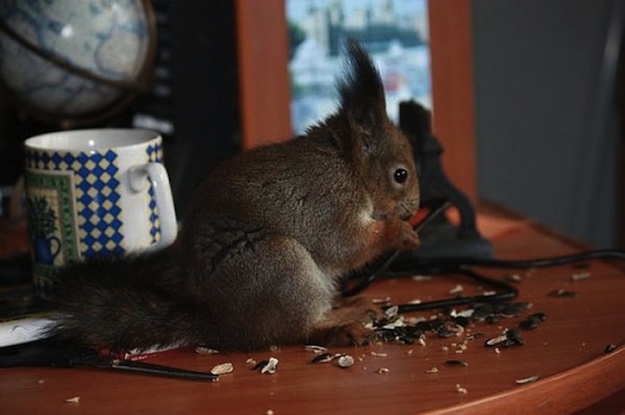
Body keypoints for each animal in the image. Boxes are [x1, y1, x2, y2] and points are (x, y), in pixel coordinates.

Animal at [52, 41, 420, 354]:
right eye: (400, 174)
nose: (413, 208)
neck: (348, 166)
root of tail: (223, 327)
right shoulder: (329, 202)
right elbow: (345, 245)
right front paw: (401, 232)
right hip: (277, 264)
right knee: (293, 331)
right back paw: (337, 327)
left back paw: (350, 305)